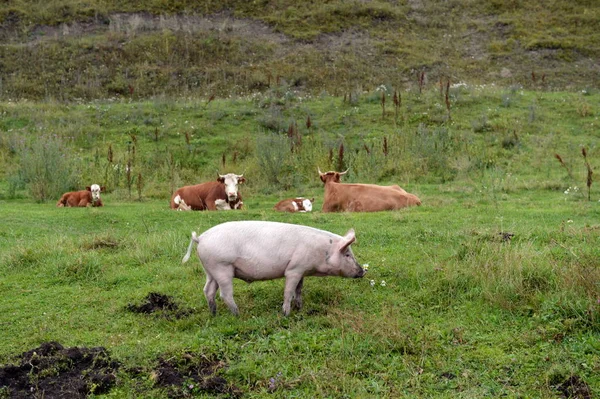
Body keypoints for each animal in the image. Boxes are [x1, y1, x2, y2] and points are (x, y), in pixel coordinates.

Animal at [179, 220, 366, 318]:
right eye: (347, 254)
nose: (363, 271)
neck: (321, 251)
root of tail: (201, 238)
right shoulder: (294, 269)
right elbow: (288, 291)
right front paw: (286, 314)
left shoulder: (302, 270)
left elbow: (299, 290)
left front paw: (300, 308)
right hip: (222, 267)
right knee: (224, 294)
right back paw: (238, 315)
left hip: (210, 270)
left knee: (208, 290)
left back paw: (214, 313)